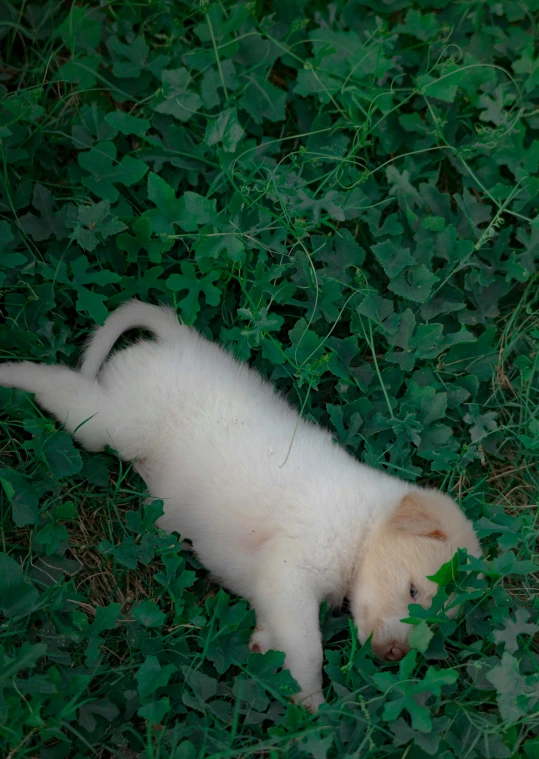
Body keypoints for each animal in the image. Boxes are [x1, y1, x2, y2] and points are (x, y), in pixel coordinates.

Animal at [0, 302, 480, 712]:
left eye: (436, 621)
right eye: (413, 590)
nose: (394, 654)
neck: (364, 526)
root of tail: (182, 339)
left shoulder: (276, 592)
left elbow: (282, 636)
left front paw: (269, 658)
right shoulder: (290, 572)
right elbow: (309, 648)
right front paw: (311, 706)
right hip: (111, 424)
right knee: (61, 385)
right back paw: (10, 373)